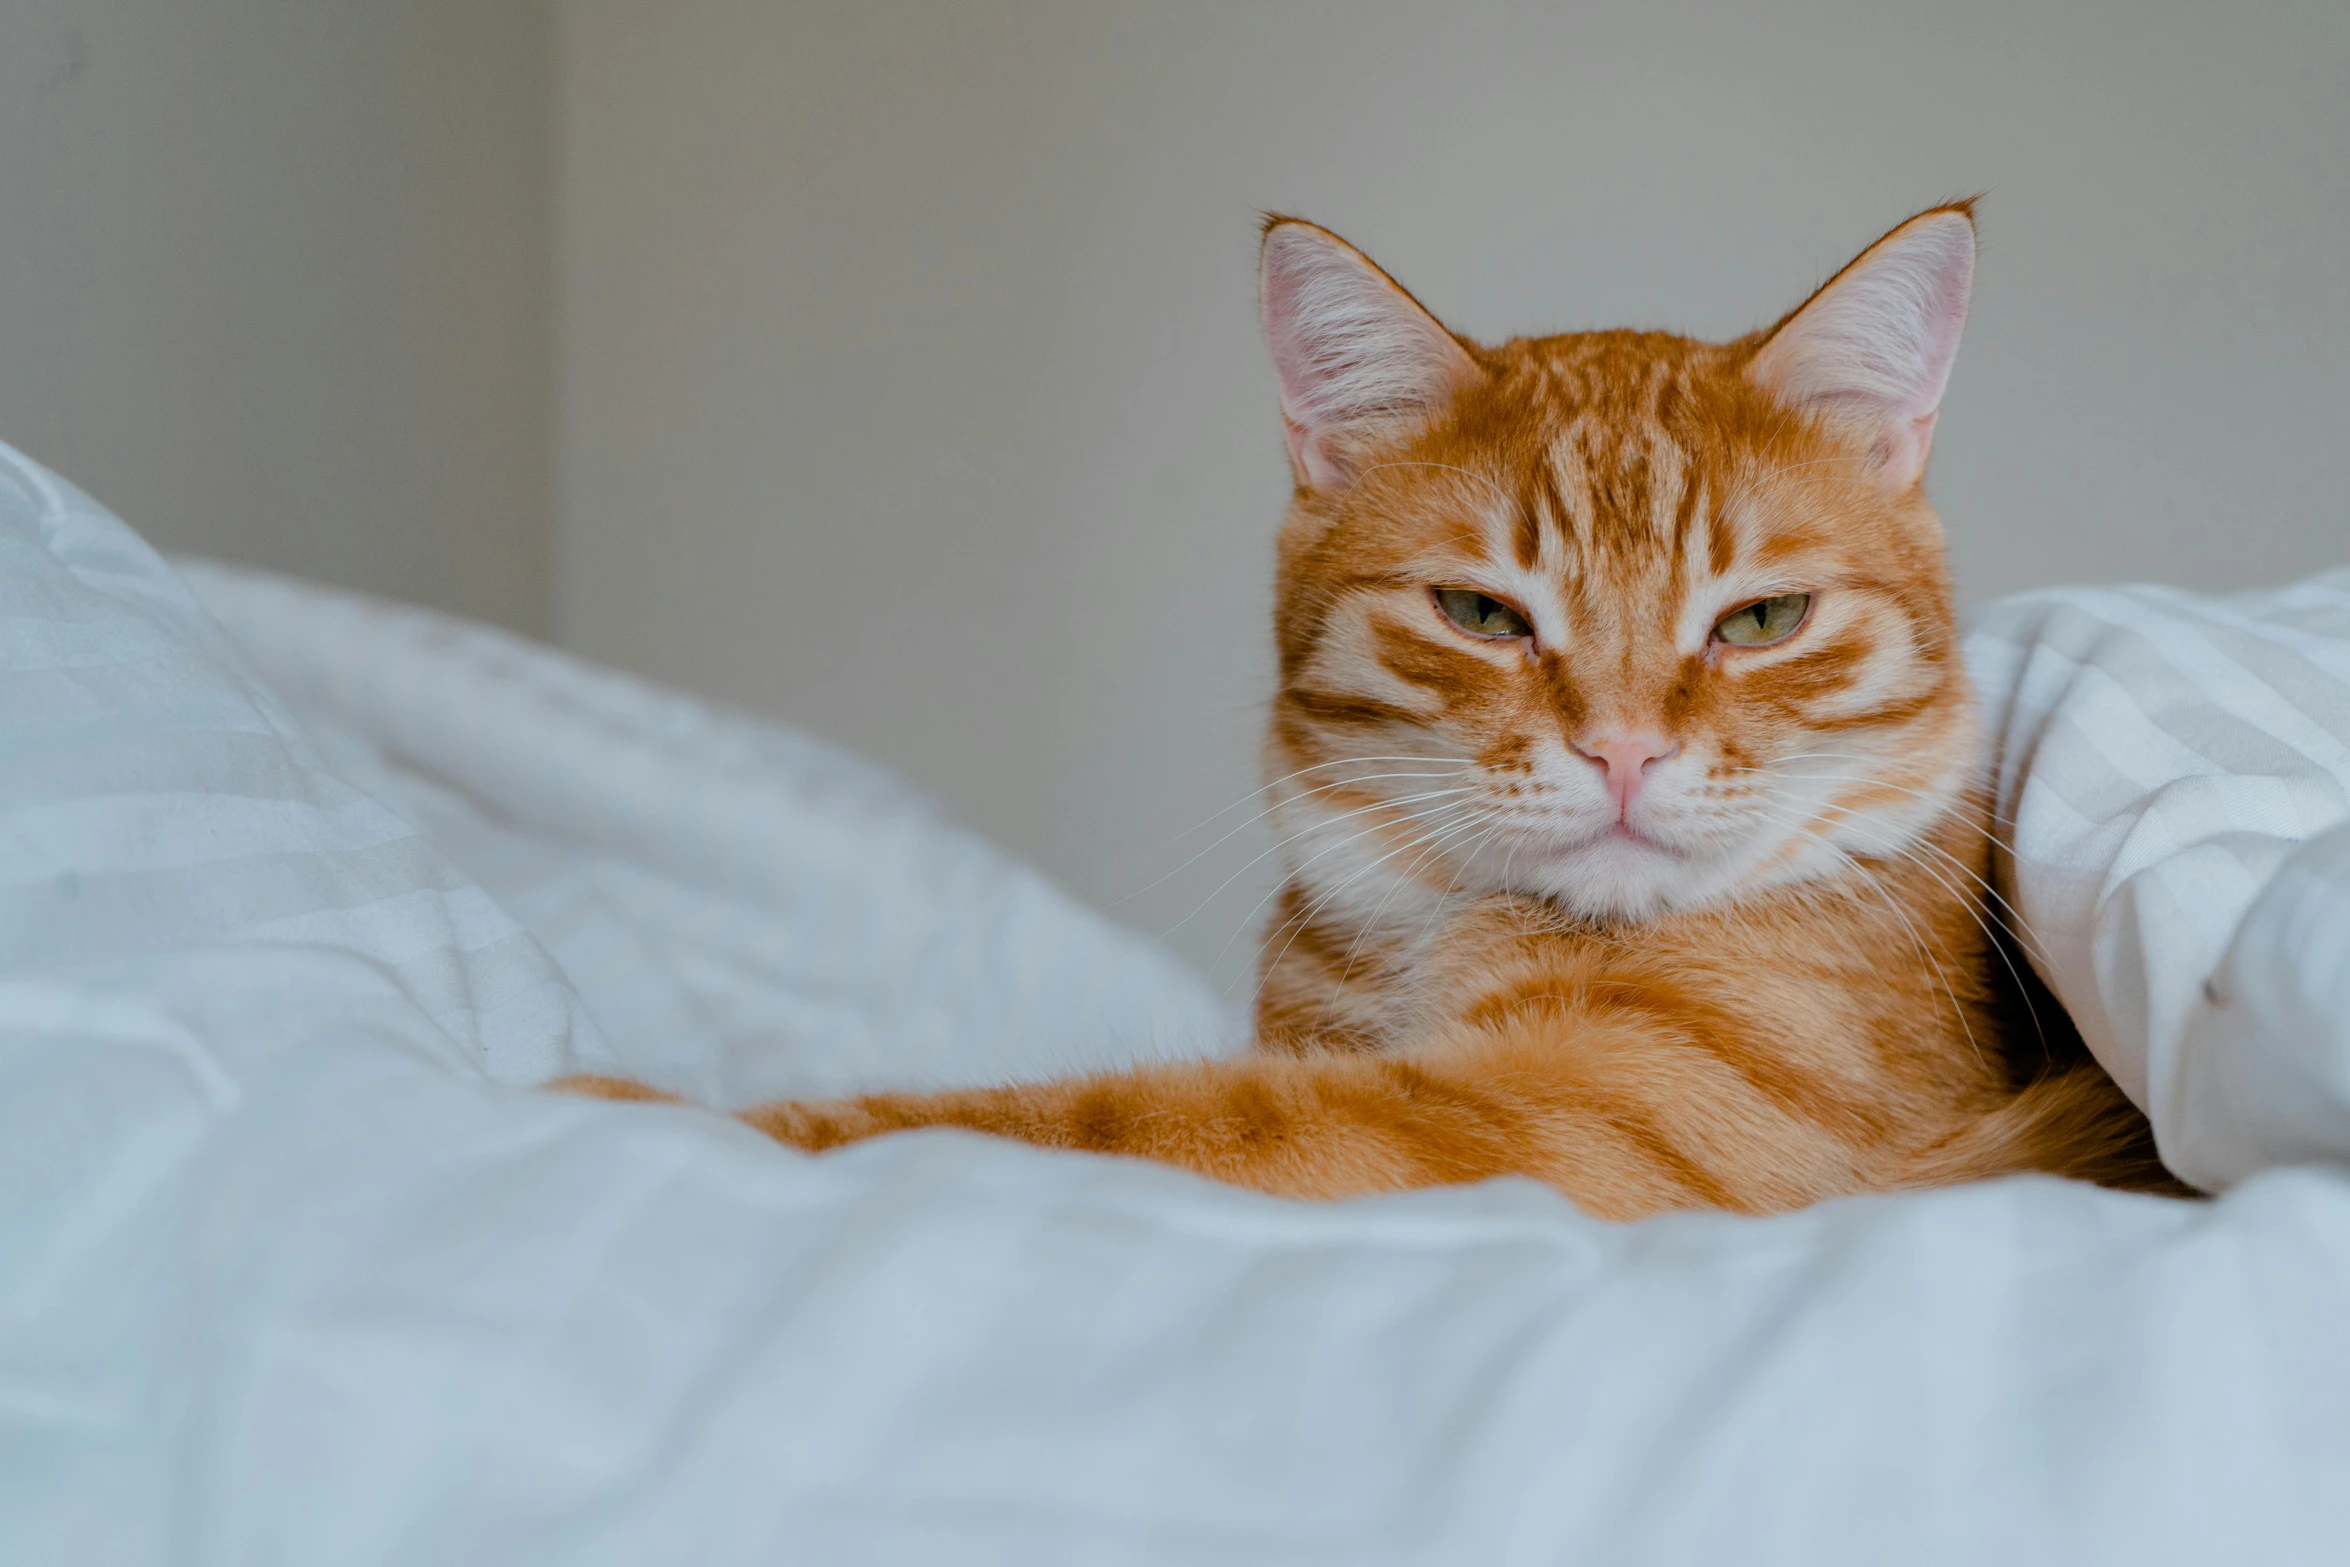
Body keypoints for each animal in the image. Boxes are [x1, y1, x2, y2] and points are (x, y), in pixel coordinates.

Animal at [559, 202, 2171, 1221]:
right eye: (1481, 614)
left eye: (1760, 622)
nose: (1622, 749)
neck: (1429, 927)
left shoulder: (1545, 1126)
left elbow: (1050, 1118)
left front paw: (630, 1108)